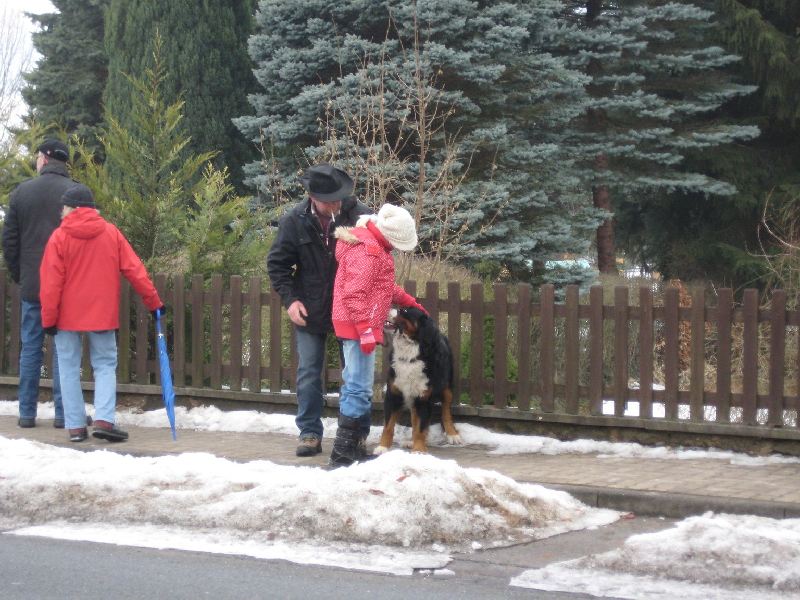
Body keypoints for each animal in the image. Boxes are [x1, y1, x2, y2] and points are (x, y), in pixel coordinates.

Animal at [376, 308, 462, 452]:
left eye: (404, 310)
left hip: (446, 387)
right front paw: (382, 448)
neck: (410, 355)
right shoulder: (393, 394)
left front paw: (419, 451)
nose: (388, 307)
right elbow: (388, 427)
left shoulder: (424, 397)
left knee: (446, 411)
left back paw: (452, 435)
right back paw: (411, 442)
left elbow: (421, 427)